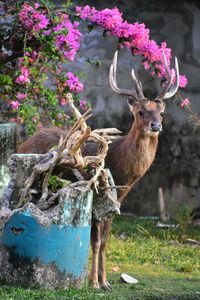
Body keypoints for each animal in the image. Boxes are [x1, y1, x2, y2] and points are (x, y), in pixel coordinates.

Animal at [18, 50, 179, 290]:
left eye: (162, 113)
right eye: (141, 112)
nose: (156, 126)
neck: (122, 171)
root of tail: (23, 143)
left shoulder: (117, 199)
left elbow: (104, 242)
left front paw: (105, 282)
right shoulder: (93, 190)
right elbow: (94, 241)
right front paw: (94, 283)